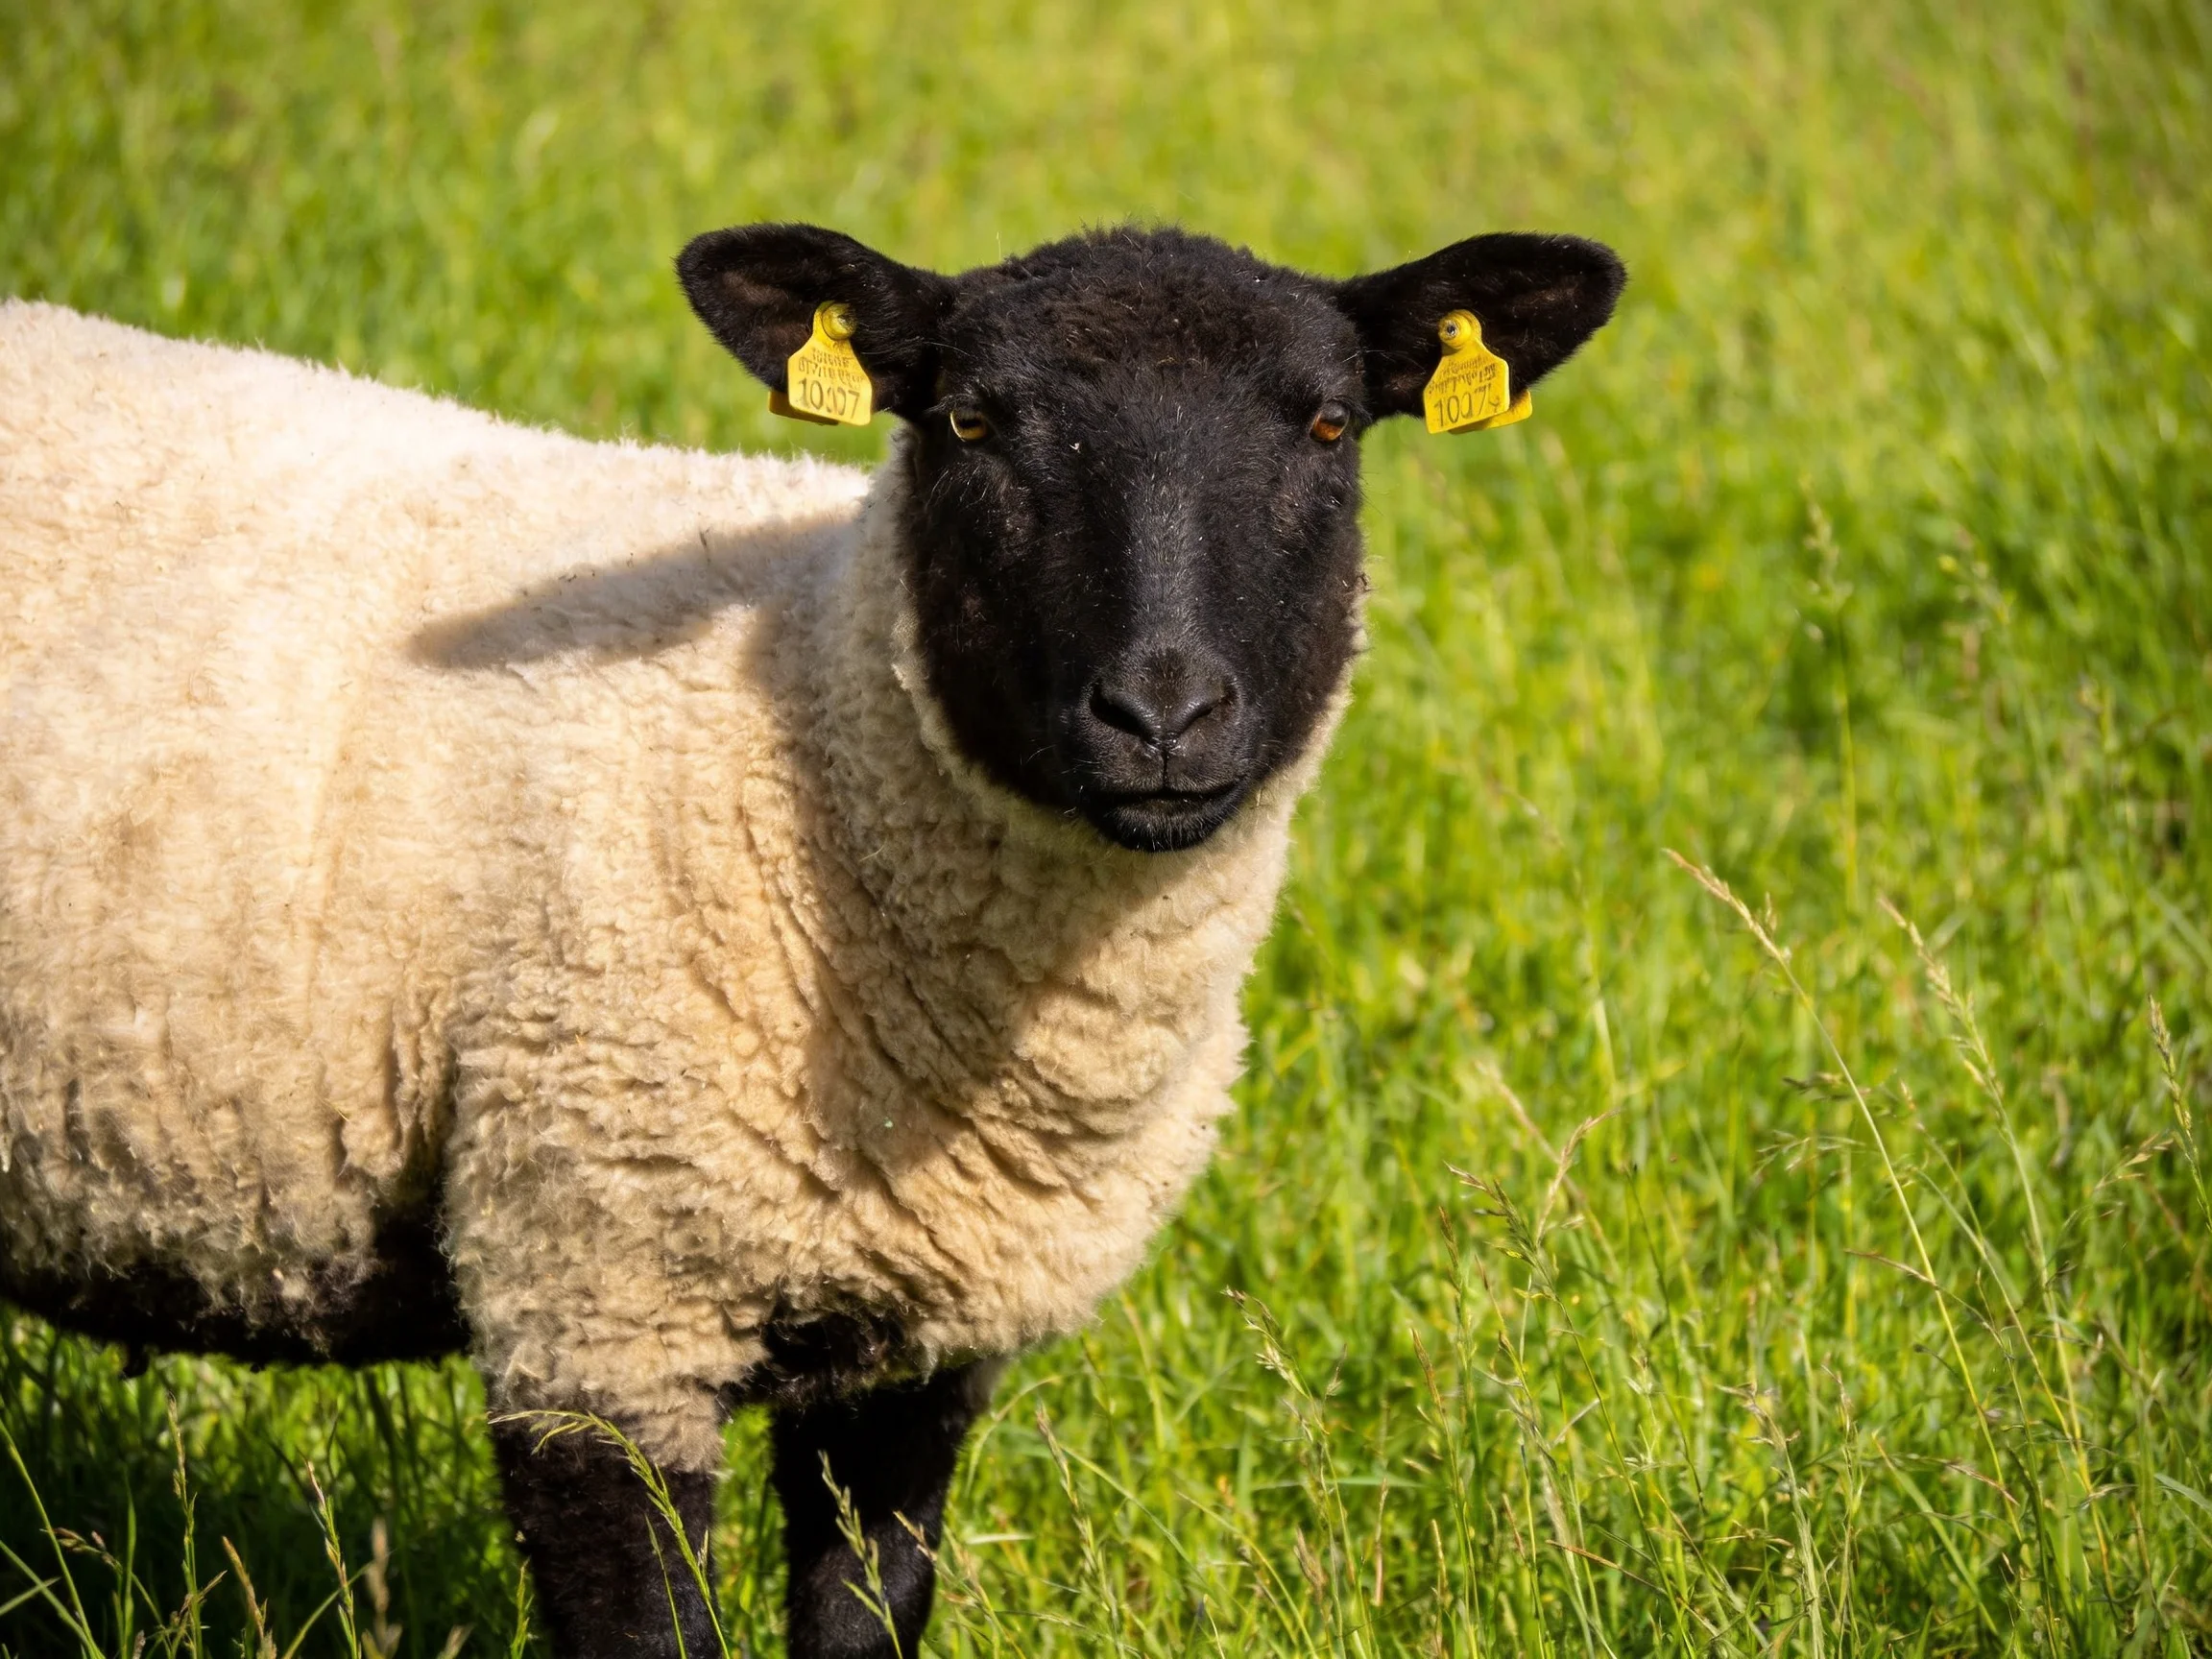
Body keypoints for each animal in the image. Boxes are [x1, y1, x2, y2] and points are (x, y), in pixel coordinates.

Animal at [0, 222, 1623, 1658]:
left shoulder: (912, 1352)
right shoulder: (597, 1289)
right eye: (968, 419)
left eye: (1333, 425)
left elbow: (867, 1621)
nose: (1163, 716)